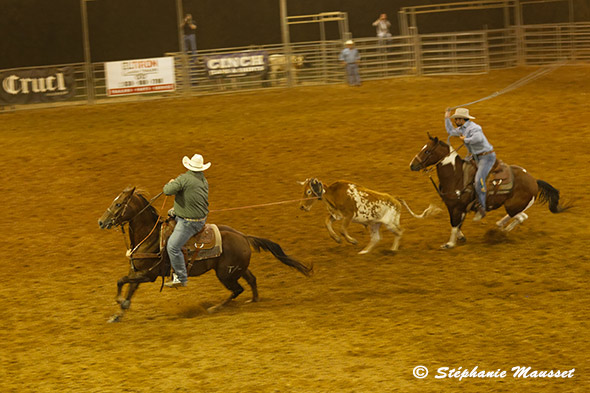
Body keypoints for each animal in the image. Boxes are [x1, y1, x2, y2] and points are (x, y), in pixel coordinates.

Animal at [99, 187, 312, 322]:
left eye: (119, 204)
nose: (101, 222)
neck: (150, 237)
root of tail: (244, 236)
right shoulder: (137, 272)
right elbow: (128, 288)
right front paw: (118, 313)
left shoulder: (148, 275)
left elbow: (120, 281)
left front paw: (120, 301)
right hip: (237, 269)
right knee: (251, 280)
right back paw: (254, 300)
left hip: (225, 274)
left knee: (237, 290)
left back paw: (215, 308)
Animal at [298, 178, 442, 253]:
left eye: (309, 191)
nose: (302, 206)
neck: (334, 194)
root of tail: (395, 199)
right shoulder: (336, 214)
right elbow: (327, 222)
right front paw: (337, 239)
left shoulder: (349, 215)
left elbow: (342, 229)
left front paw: (352, 240)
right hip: (375, 223)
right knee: (376, 238)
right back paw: (365, 252)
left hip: (390, 223)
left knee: (399, 232)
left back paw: (393, 249)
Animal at [410, 135, 572, 248]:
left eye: (427, 151)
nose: (412, 165)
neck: (457, 175)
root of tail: (534, 181)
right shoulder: (455, 207)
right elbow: (457, 224)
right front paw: (460, 237)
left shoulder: (456, 207)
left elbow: (454, 224)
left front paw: (449, 244)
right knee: (517, 217)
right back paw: (499, 227)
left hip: (513, 206)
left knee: (521, 217)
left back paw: (500, 232)